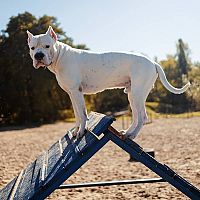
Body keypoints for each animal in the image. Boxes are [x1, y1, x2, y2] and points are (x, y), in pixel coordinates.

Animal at [26, 26, 189, 139]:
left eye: (47, 46)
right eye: (32, 48)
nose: (38, 55)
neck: (60, 56)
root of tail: (153, 62)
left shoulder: (77, 92)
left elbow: (83, 114)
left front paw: (81, 132)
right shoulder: (72, 94)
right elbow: (77, 114)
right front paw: (76, 130)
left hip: (138, 93)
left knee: (142, 117)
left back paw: (132, 135)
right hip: (132, 95)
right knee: (136, 116)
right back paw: (127, 133)